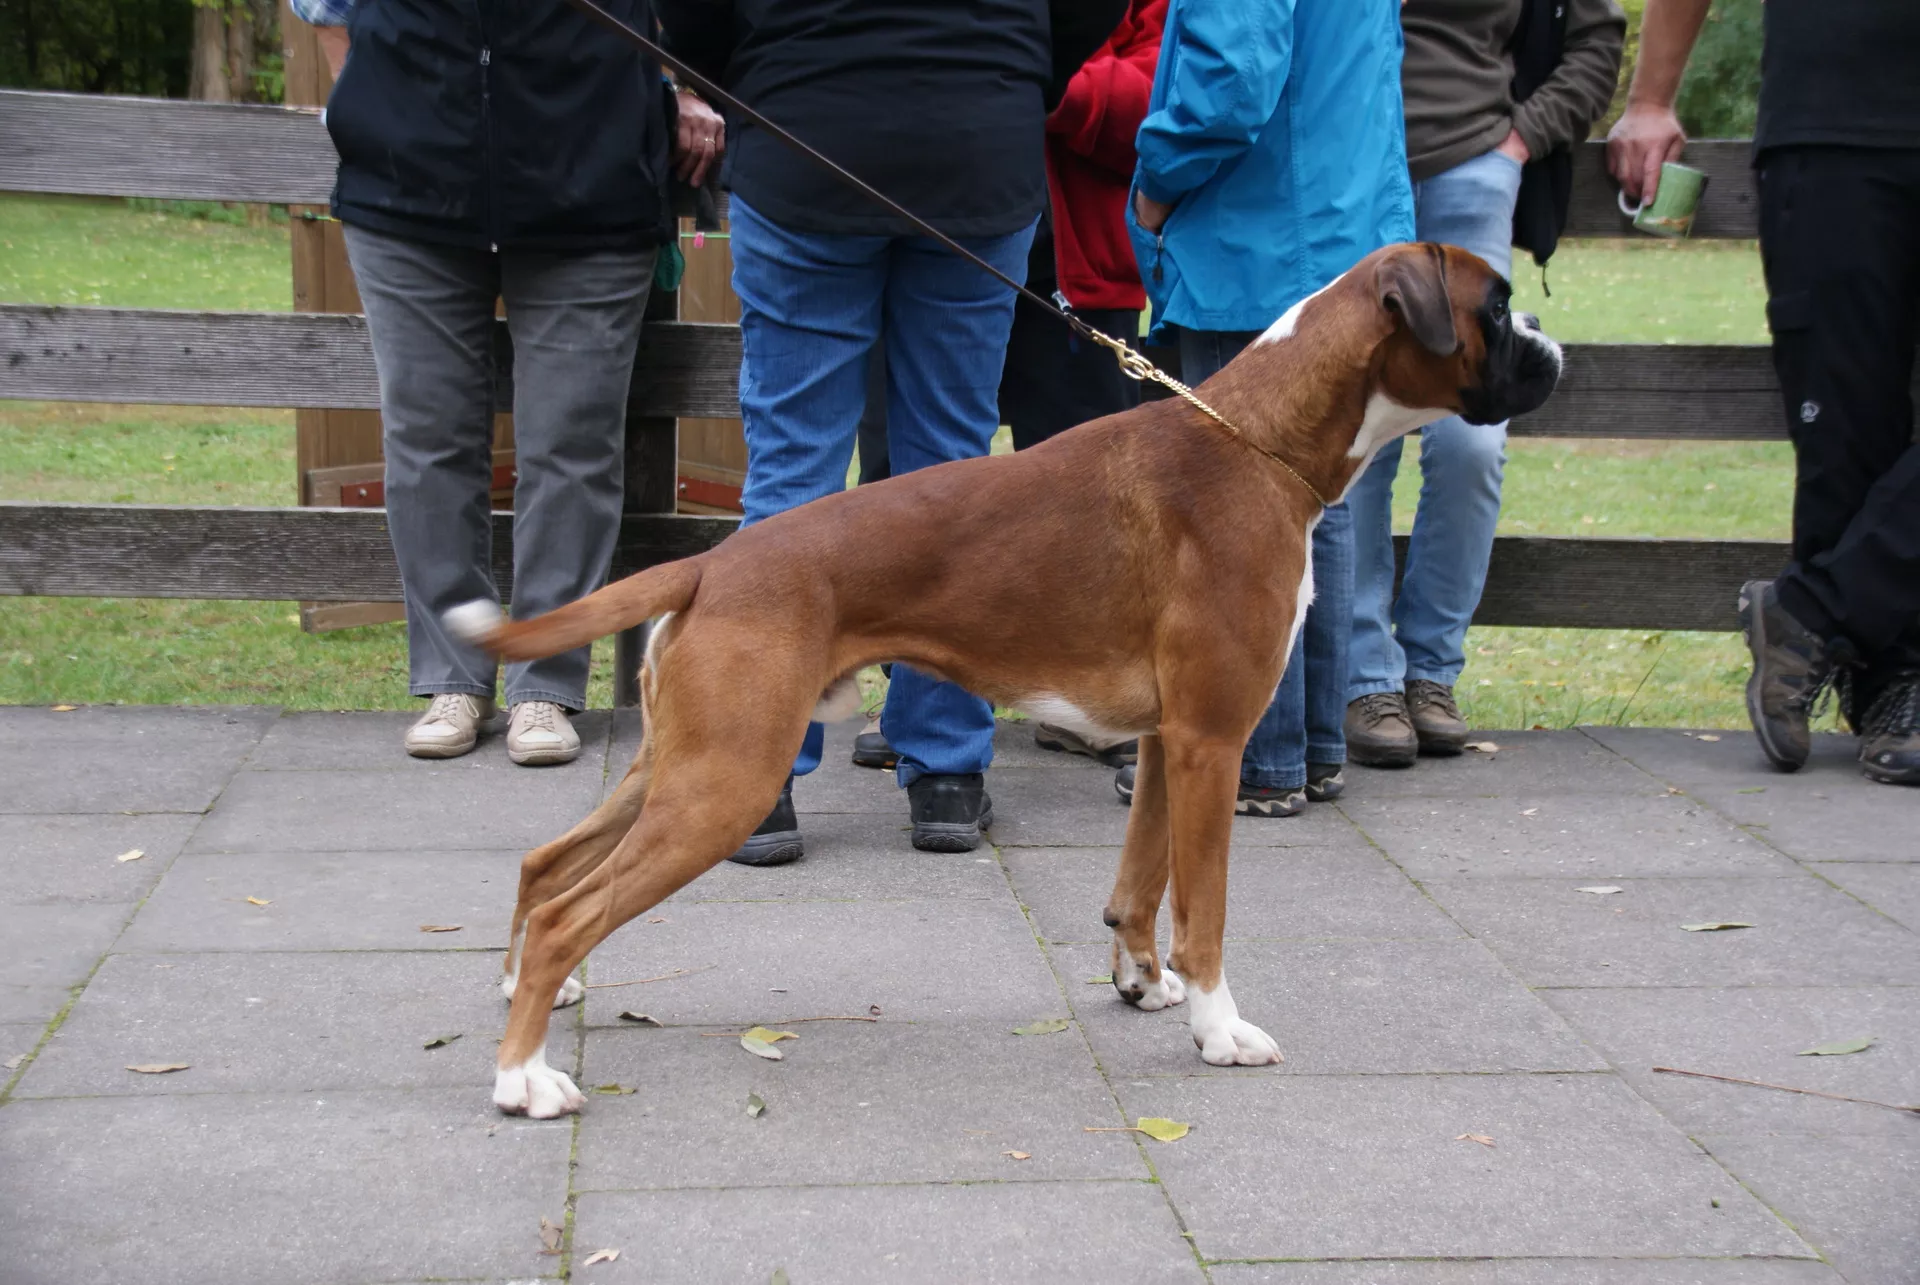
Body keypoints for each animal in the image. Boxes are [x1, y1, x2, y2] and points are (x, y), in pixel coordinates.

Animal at [445, 241, 1562, 1117]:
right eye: (1496, 306)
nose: (1551, 341)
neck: (1259, 440)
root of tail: (713, 562)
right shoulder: (1214, 743)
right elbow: (1204, 910)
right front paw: (1219, 1029)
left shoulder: (1167, 745)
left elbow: (1140, 883)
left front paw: (1141, 982)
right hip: (727, 783)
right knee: (570, 909)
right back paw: (523, 1080)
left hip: (682, 765)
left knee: (546, 867)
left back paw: (530, 998)